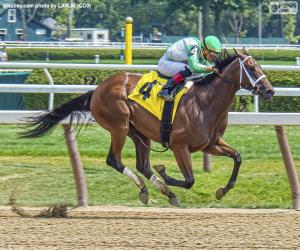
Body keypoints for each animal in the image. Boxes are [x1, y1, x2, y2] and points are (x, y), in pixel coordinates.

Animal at [20, 49, 274, 206]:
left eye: (258, 65)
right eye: (251, 67)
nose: (270, 91)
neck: (205, 102)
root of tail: (97, 90)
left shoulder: (210, 144)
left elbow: (237, 156)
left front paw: (222, 190)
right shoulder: (179, 146)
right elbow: (189, 180)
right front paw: (165, 173)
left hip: (140, 133)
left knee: (142, 165)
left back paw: (160, 192)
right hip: (119, 125)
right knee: (114, 160)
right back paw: (149, 188)